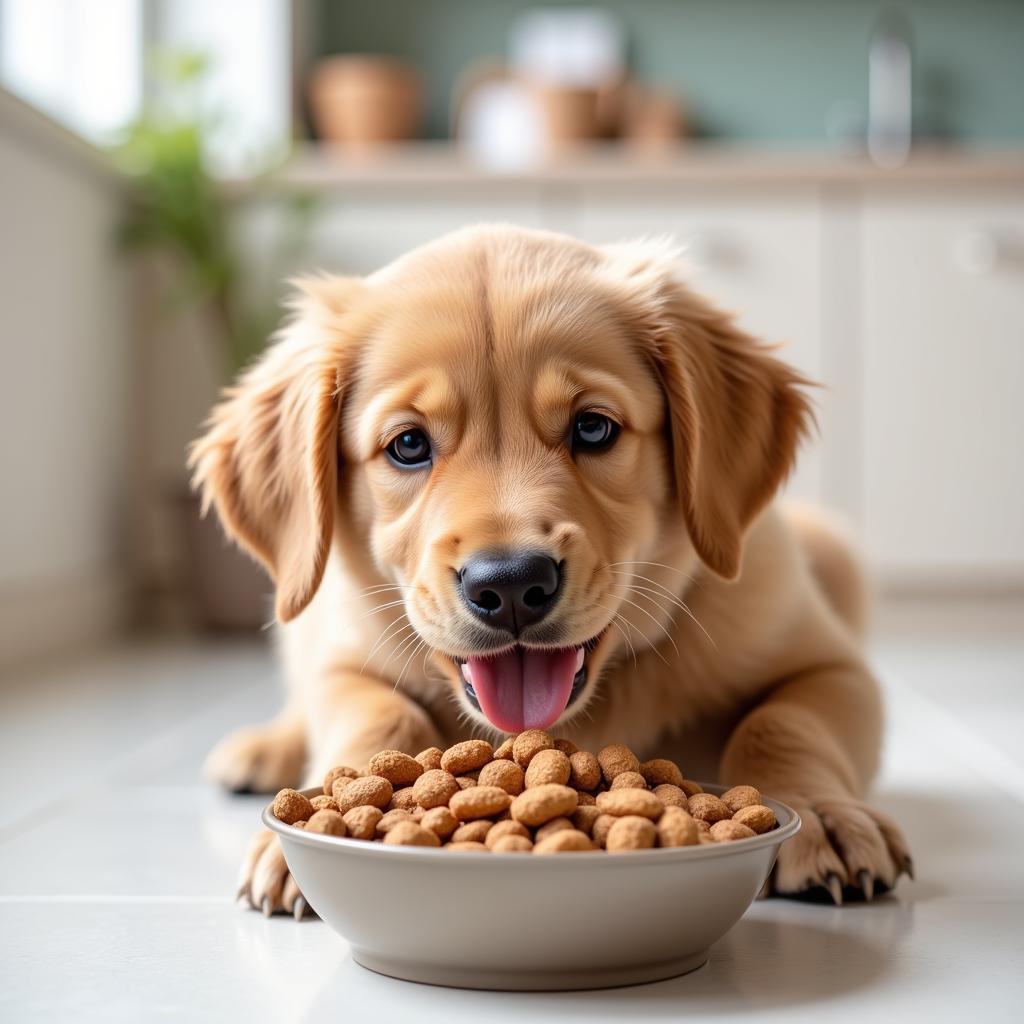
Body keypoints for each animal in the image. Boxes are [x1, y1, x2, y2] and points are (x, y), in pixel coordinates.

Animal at [188, 222, 909, 913]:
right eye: (408, 445)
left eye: (593, 428)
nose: (509, 585)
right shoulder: (345, 658)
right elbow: (380, 717)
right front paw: (303, 840)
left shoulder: (828, 664)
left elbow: (781, 725)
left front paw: (822, 816)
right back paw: (262, 747)